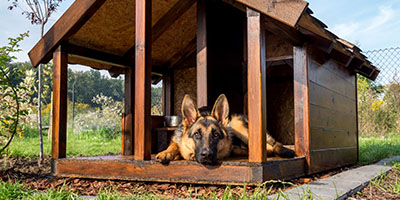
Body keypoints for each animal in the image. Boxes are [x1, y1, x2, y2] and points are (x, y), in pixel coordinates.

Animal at [155, 93, 296, 164]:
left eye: (216, 135)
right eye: (196, 134)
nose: (207, 155)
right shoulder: (178, 141)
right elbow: (175, 145)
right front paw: (166, 152)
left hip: (237, 125)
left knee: (270, 147)